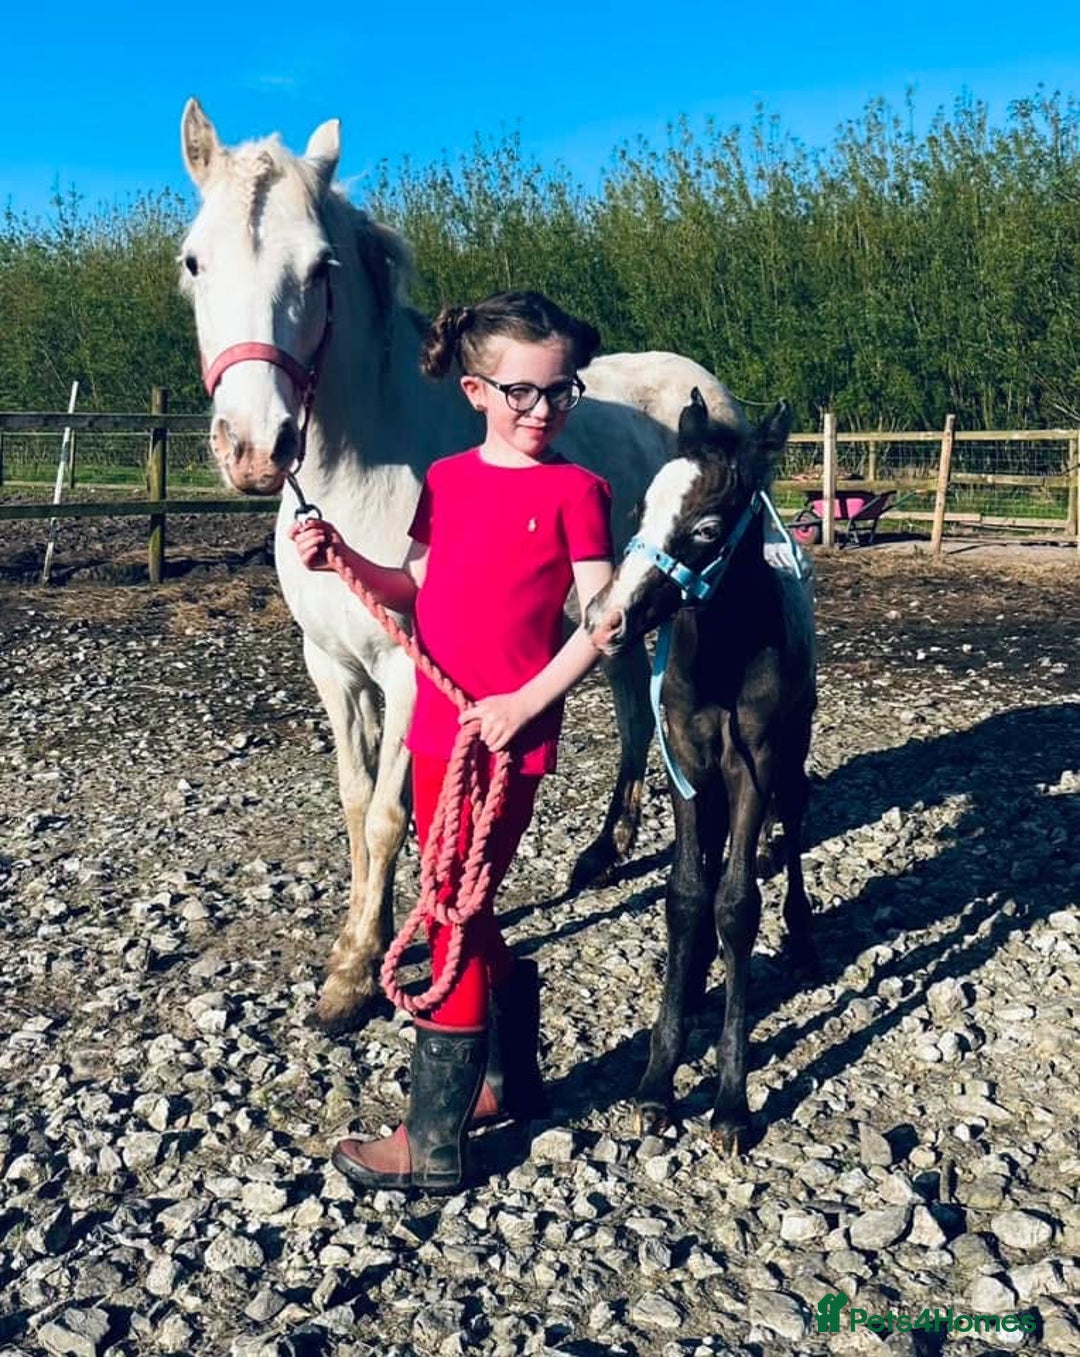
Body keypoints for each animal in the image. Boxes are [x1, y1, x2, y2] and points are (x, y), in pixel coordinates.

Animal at [179, 99, 752, 1033]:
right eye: (195, 259)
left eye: (321, 266)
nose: (258, 449)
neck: (360, 472)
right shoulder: (331, 666)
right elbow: (353, 801)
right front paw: (362, 938)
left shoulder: (411, 669)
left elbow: (389, 814)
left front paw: (357, 974)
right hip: (611, 612)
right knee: (633, 709)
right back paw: (606, 850)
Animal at [584, 387, 818, 1152]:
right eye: (640, 509)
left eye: (709, 528)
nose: (605, 619)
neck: (720, 656)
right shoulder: (684, 759)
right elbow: (687, 895)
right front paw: (658, 1079)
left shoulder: (754, 766)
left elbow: (738, 904)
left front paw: (730, 1100)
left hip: (793, 748)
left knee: (793, 822)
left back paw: (802, 936)